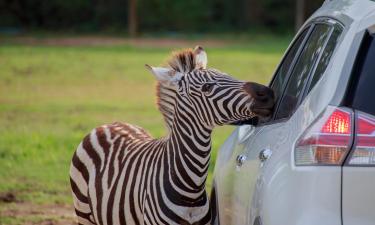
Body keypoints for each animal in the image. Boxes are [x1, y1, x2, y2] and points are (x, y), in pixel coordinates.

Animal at [70, 46, 274, 225]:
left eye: (228, 75)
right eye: (207, 87)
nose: (268, 93)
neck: (191, 189)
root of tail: (110, 124)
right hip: (84, 212)